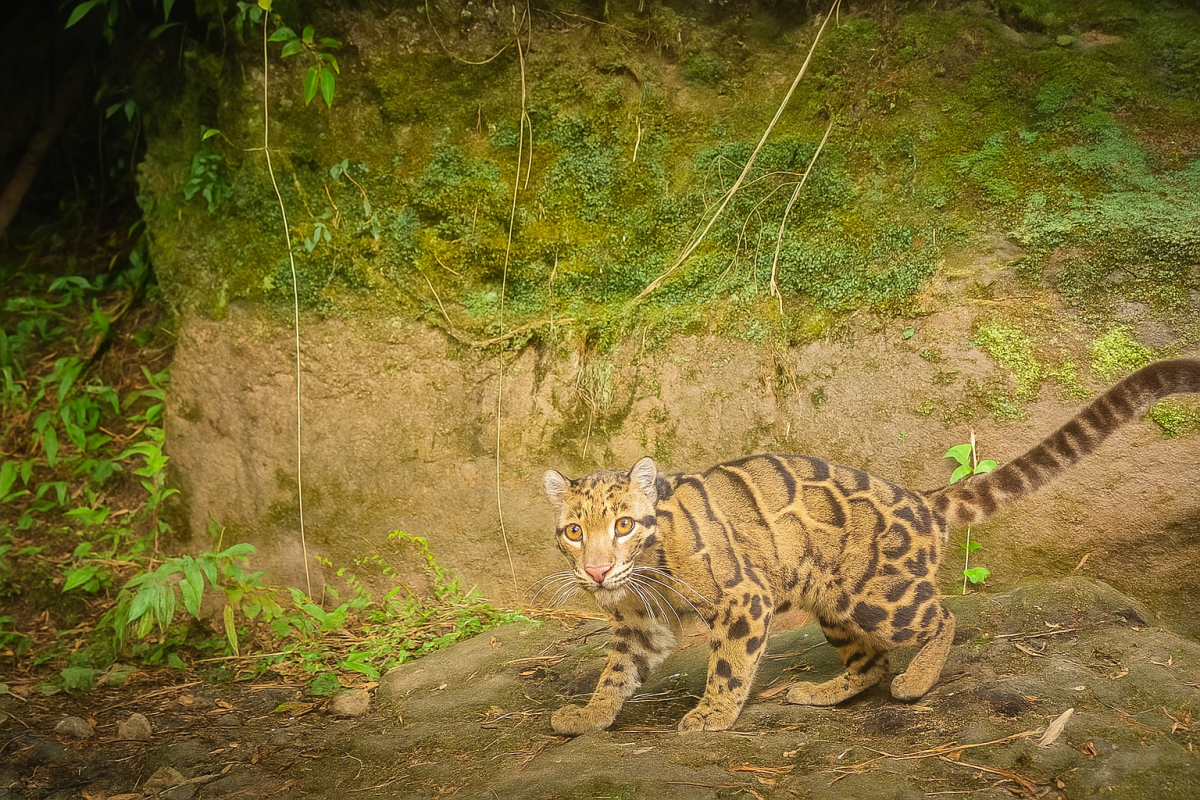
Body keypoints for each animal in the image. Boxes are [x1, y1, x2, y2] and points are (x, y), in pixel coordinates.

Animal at [537, 358, 1200, 734]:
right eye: (574, 532)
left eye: (625, 525)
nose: (596, 572)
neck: (643, 572)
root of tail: (921, 498)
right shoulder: (639, 626)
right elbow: (616, 672)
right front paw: (589, 717)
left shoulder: (743, 599)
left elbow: (728, 665)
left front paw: (710, 716)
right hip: (832, 598)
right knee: (871, 660)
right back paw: (822, 693)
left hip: (879, 597)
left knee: (942, 618)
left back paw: (917, 682)